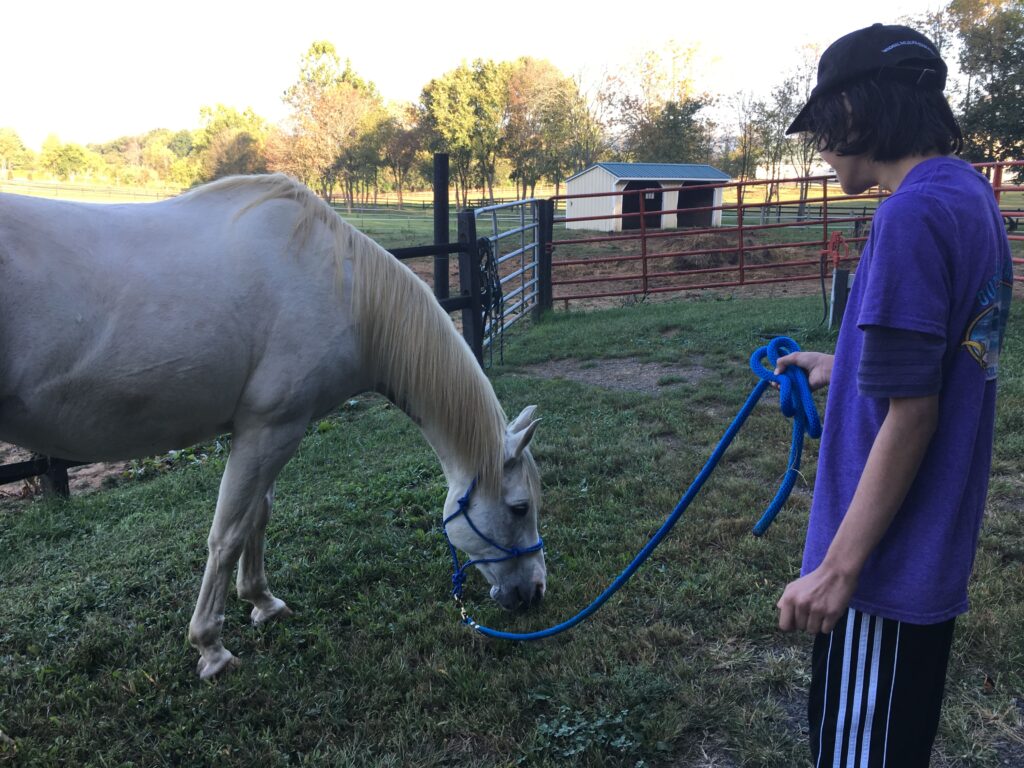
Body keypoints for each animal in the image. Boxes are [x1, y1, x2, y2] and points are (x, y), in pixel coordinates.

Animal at [0, 176, 544, 679]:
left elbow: (257, 516)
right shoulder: (271, 429)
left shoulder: (267, 433)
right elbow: (228, 533)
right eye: (519, 507)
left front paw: (262, 602)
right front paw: (211, 648)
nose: (535, 592)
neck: (343, 289)